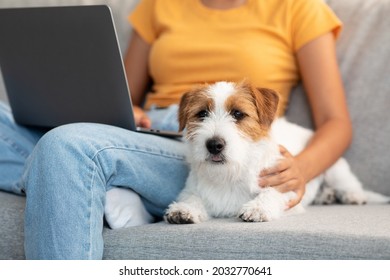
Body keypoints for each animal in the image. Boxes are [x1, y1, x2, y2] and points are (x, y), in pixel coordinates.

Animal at [165, 80, 384, 223]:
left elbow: (273, 192)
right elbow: (192, 197)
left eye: (238, 114)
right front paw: (184, 210)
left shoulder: (288, 184)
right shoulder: (192, 189)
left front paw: (257, 208)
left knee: (349, 183)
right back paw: (325, 196)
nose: (214, 144)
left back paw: (353, 195)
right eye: (202, 114)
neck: (230, 174)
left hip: (336, 169)